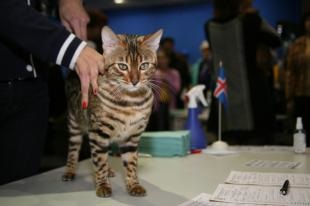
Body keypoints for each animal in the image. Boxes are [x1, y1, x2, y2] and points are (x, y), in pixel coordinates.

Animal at [63, 26, 163, 197]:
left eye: (144, 65)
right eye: (122, 66)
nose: (135, 81)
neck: (131, 101)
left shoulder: (132, 137)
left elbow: (131, 164)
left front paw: (133, 185)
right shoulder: (98, 132)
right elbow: (99, 162)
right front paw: (103, 185)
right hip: (74, 123)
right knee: (74, 150)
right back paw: (70, 170)